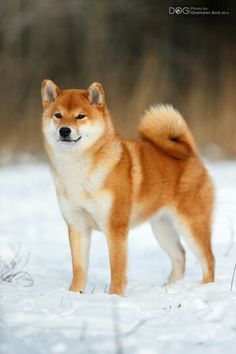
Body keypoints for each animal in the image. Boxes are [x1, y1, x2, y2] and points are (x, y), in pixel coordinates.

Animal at [41, 80, 215, 296]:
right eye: (58, 115)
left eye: (80, 116)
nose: (64, 130)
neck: (79, 172)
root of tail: (190, 152)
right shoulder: (77, 226)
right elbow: (79, 268)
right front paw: (74, 293)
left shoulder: (115, 228)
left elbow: (117, 268)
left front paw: (114, 296)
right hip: (162, 228)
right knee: (180, 256)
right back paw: (170, 287)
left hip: (191, 225)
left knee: (208, 260)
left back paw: (206, 288)